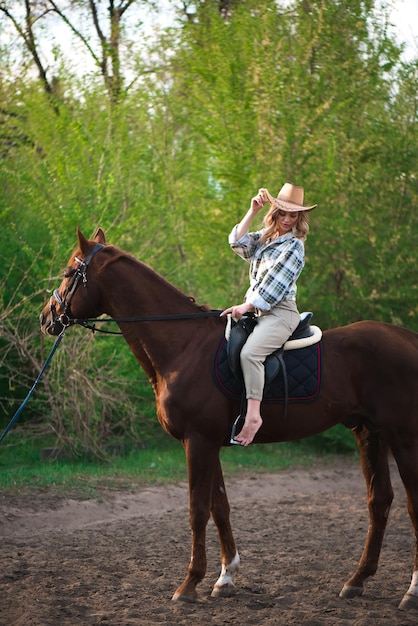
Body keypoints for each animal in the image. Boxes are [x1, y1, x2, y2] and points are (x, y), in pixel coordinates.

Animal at [40, 227, 418, 608]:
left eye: (69, 274)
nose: (47, 317)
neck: (183, 345)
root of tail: (407, 338)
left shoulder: (197, 442)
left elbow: (197, 510)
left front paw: (189, 584)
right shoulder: (210, 444)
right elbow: (219, 507)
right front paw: (224, 577)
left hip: (403, 437)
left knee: (412, 504)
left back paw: (411, 592)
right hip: (369, 432)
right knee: (379, 501)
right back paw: (357, 580)